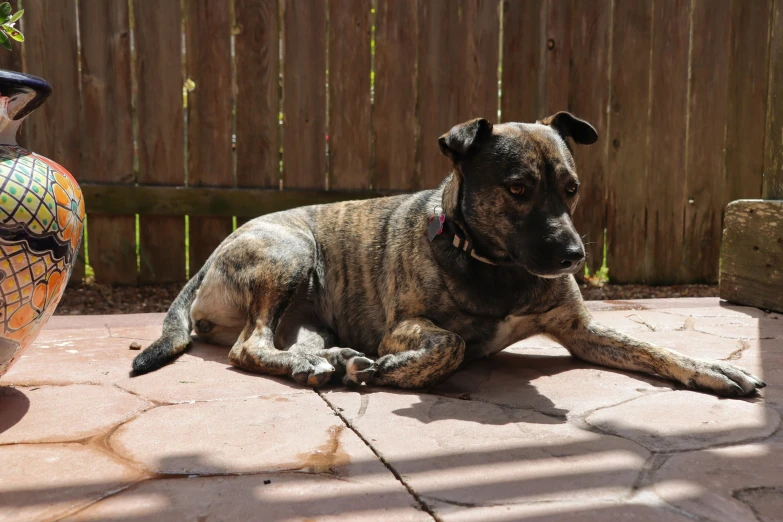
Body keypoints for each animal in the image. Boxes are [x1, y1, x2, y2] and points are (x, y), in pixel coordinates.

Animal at [133, 111, 764, 396]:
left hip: (308, 314)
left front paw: (713, 368)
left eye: (572, 188)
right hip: (290, 254)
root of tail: (210, 256)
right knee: (249, 347)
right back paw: (324, 364)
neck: (496, 266)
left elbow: (655, 349)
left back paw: (328, 360)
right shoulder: (405, 327)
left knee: (289, 345)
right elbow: (454, 344)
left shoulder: (581, 330)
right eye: (518, 189)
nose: (575, 255)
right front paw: (395, 370)